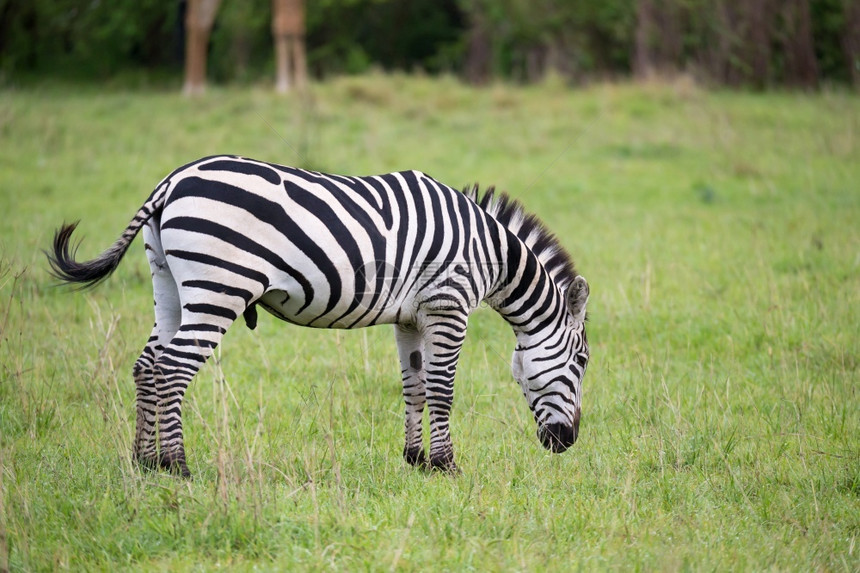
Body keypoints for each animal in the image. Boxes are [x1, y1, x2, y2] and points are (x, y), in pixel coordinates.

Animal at [45, 154, 584, 476]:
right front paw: (447, 465)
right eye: (581, 364)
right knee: (173, 369)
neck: (488, 253)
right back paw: (178, 466)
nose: (568, 443)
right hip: (219, 286)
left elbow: (414, 385)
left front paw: (415, 461)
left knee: (147, 366)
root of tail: (172, 179)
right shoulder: (447, 306)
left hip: (168, 285)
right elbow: (442, 389)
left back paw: (144, 462)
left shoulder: (410, 317)